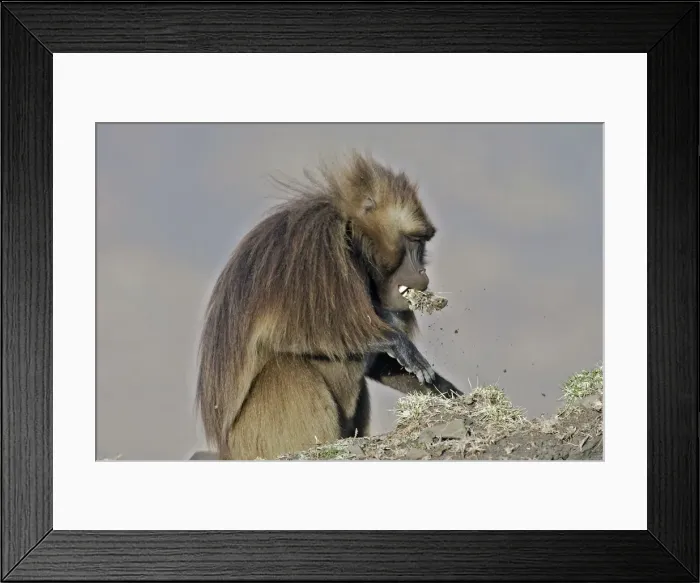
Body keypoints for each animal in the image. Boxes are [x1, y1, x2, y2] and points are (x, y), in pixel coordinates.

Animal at [195, 152, 463, 460]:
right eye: (414, 241)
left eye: (423, 243)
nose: (422, 272)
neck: (353, 236)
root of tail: (226, 450)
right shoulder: (317, 247)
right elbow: (300, 330)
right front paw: (400, 344)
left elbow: (377, 362)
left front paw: (443, 389)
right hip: (254, 437)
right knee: (289, 366)